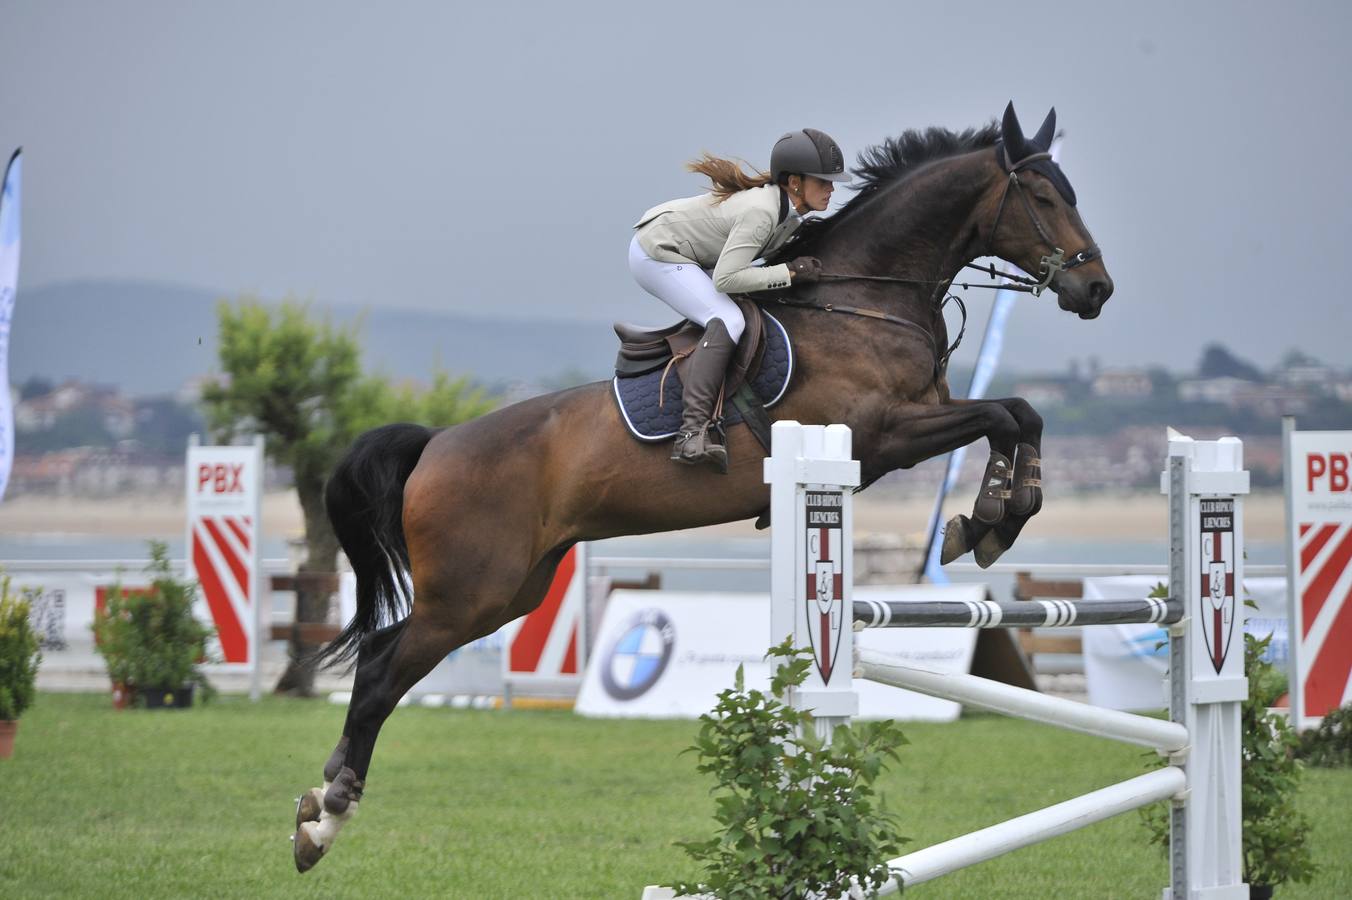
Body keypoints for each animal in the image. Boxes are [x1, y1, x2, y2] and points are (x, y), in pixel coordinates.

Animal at [290, 103, 1114, 870]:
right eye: (1044, 196)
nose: (1096, 287)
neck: (863, 299)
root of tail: (435, 445)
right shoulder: (883, 435)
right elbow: (1003, 413)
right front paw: (991, 516)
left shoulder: (914, 424)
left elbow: (1020, 412)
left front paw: (995, 516)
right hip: (470, 592)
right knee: (379, 675)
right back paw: (325, 816)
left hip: (508, 591)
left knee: (383, 658)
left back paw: (320, 808)